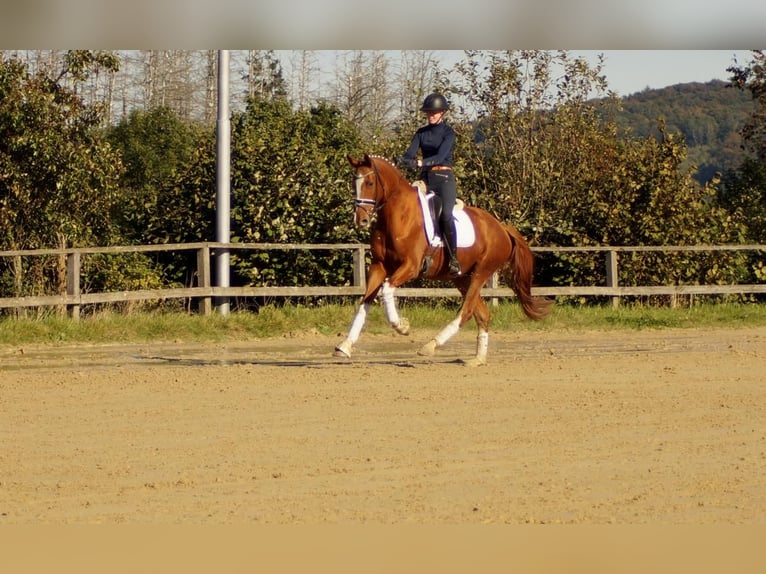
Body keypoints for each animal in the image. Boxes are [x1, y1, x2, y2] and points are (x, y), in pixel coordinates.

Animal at [336, 154, 552, 368]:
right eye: (354, 183)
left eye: (370, 183)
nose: (361, 220)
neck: (398, 214)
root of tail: (502, 228)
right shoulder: (379, 266)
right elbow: (364, 302)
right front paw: (345, 346)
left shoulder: (411, 266)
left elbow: (387, 289)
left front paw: (402, 327)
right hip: (461, 278)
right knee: (482, 313)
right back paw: (477, 359)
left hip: (482, 272)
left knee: (466, 311)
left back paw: (430, 346)